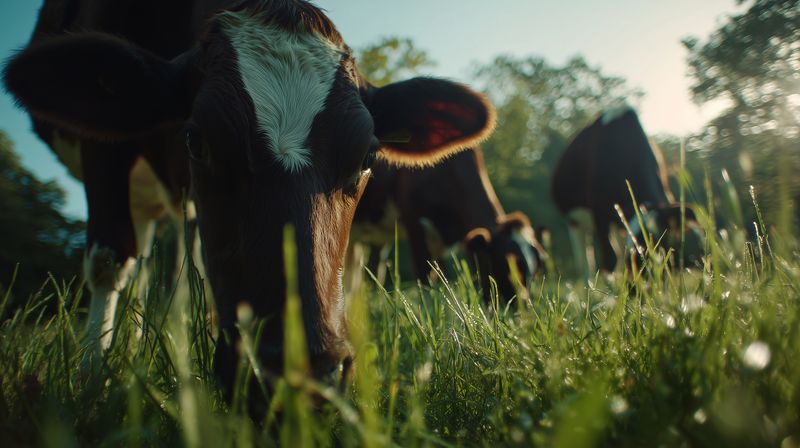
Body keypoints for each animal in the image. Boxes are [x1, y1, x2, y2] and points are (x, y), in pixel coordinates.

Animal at [3, 0, 496, 390]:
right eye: (196, 140)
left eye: (369, 154)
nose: (301, 373)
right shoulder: (103, 151)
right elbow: (107, 260)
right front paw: (92, 383)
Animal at [350, 147, 545, 302]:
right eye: (505, 264)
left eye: (535, 270)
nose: (524, 307)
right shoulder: (414, 222)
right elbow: (424, 279)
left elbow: (439, 278)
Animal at [551, 106, 699, 274]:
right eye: (638, 245)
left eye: (663, 241)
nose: (646, 271)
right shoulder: (599, 214)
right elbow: (609, 259)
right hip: (574, 222)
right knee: (585, 261)